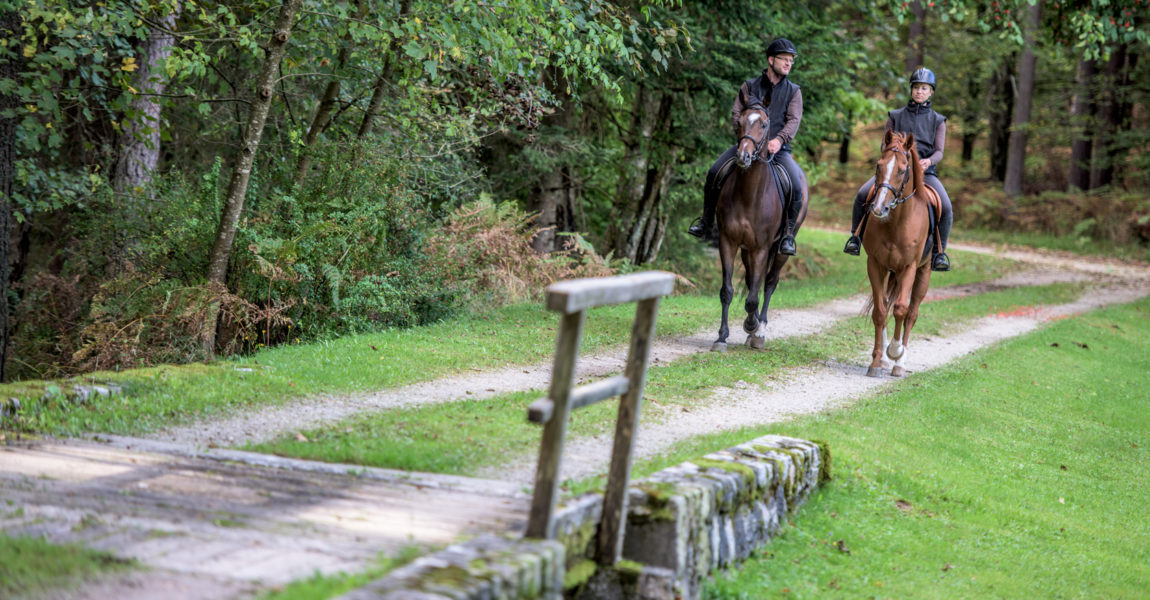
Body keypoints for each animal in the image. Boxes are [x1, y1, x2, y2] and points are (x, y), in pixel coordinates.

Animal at [708, 102, 809, 349]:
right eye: (740, 121)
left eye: (764, 124)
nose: (743, 156)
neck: (749, 193)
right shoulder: (728, 242)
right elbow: (727, 290)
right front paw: (722, 337)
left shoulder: (762, 248)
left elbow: (754, 296)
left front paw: (753, 327)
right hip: (746, 250)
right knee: (751, 279)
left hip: (780, 249)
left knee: (770, 281)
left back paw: (759, 331)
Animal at [860, 129, 938, 372]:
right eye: (878, 165)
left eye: (903, 170)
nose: (879, 208)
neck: (895, 223)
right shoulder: (875, 264)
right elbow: (880, 311)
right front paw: (877, 360)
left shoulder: (909, 267)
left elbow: (901, 309)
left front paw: (895, 351)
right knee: (886, 305)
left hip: (924, 273)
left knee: (912, 313)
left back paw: (900, 363)